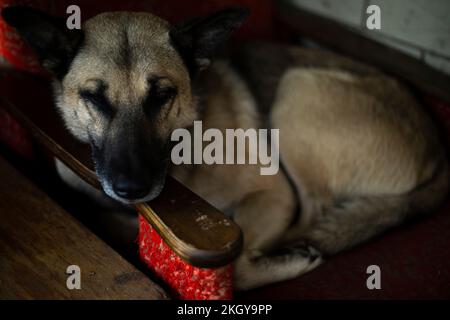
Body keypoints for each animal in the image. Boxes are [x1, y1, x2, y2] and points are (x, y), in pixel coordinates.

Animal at [2, 5, 446, 290]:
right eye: (94, 98)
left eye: (161, 95)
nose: (132, 188)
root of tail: (438, 153)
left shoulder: (273, 192)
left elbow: (243, 262)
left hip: (297, 89)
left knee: (314, 215)